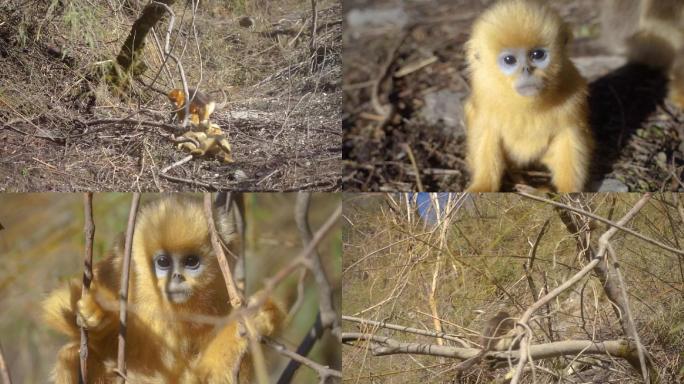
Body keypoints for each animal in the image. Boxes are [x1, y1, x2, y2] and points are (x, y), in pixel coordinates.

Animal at [42, 196, 284, 382]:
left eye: (191, 261)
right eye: (163, 262)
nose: (176, 277)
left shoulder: (225, 297)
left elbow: (205, 377)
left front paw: (258, 316)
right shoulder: (117, 268)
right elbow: (58, 303)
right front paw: (100, 314)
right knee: (71, 354)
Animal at [464, 0, 592, 192]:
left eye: (537, 55)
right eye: (509, 60)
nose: (526, 70)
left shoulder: (573, 97)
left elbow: (570, 135)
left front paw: (567, 192)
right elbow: (486, 135)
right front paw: (482, 186)